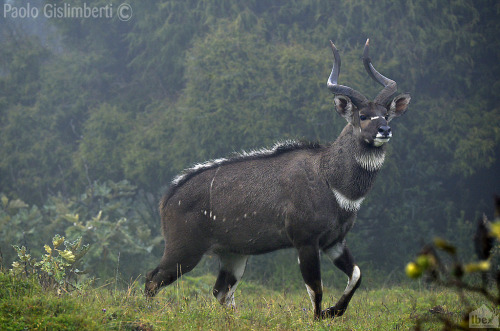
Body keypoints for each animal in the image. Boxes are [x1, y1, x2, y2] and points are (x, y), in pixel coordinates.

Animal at [145, 38, 410, 320]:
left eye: (386, 114)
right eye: (362, 115)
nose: (384, 130)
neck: (331, 181)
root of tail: (167, 198)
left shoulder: (335, 241)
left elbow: (356, 274)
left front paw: (333, 311)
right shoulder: (305, 240)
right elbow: (315, 287)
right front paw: (318, 317)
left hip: (233, 254)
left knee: (221, 292)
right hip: (184, 250)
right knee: (153, 278)